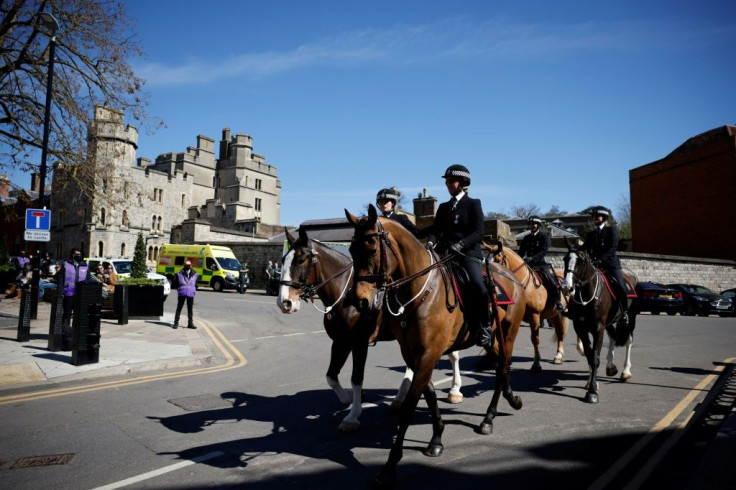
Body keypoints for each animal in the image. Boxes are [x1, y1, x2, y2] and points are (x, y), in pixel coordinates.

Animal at [278, 228, 466, 430]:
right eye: (283, 261)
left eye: (300, 260)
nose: (284, 303)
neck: (344, 297)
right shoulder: (341, 342)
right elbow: (331, 376)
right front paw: (349, 398)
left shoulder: (359, 344)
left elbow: (356, 378)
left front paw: (352, 416)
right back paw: (400, 398)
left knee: (453, 356)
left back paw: (455, 390)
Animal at [346, 205, 528, 488]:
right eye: (352, 250)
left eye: (372, 248)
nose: (360, 301)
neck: (419, 292)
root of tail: (513, 279)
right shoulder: (413, 353)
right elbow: (430, 395)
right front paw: (436, 440)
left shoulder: (429, 354)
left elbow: (410, 405)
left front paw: (390, 466)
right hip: (494, 340)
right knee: (503, 365)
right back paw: (511, 399)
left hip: (508, 332)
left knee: (502, 369)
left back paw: (488, 418)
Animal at [486, 241, 572, 372]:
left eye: (497, 260)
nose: (491, 287)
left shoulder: (534, 315)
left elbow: (535, 339)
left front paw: (536, 363)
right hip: (555, 314)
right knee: (559, 332)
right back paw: (558, 355)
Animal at [564, 239, 640, 404]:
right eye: (565, 259)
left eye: (580, 260)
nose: (567, 287)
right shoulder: (581, 327)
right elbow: (589, 355)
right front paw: (590, 383)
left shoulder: (598, 328)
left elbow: (595, 357)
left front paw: (592, 392)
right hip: (610, 322)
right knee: (613, 336)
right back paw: (611, 366)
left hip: (630, 319)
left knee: (628, 341)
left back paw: (626, 371)